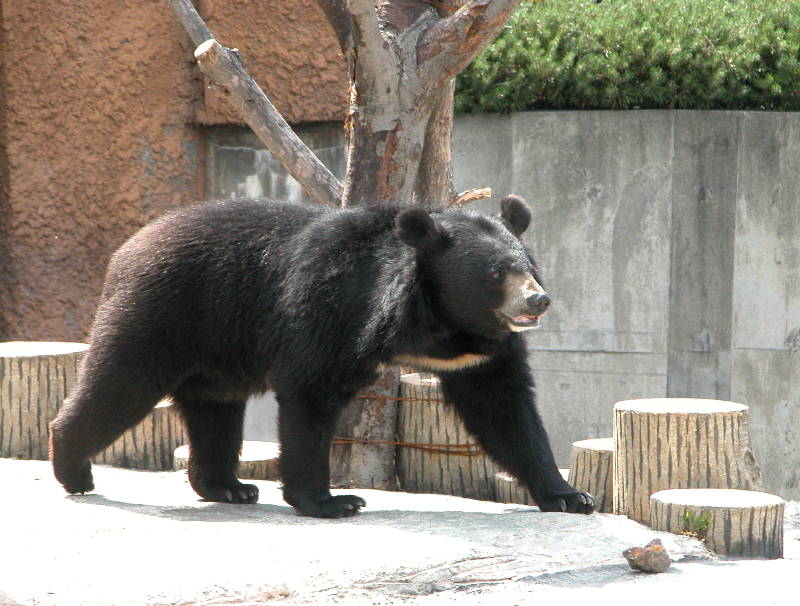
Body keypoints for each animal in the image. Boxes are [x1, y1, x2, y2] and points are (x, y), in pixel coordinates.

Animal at [48, 197, 588, 520]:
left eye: (529, 265)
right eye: (496, 273)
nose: (538, 300)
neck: (437, 324)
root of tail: (129, 247)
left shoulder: (480, 352)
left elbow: (504, 409)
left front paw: (569, 496)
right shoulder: (333, 308)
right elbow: (310, 391)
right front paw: (332, 501)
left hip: (216, 350)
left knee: (214, 410)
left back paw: (229, 486)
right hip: (162, 312)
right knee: (119, 386)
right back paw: (74, 468)